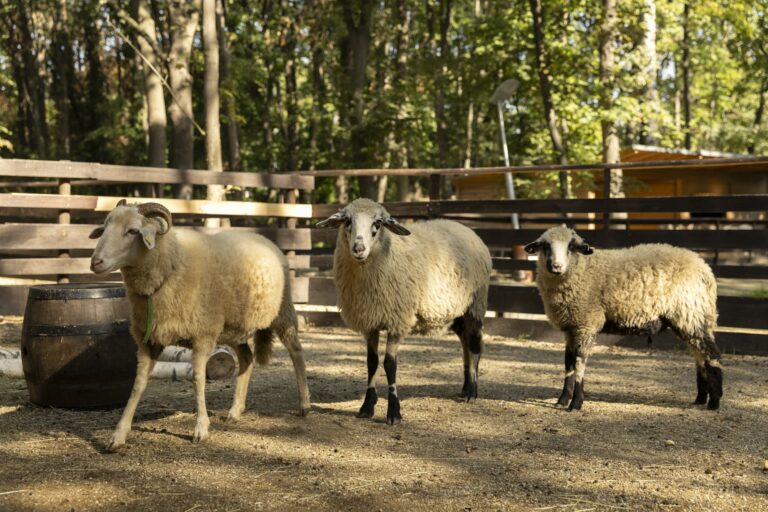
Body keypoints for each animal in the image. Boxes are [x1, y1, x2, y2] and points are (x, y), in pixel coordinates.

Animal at [89, 200, 311, 450]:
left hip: (283, 312)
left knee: (296, 352)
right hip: (234, 328)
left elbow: (198, 379)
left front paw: (201, 429)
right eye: (105, 227)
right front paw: (118, 435)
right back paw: (235, 411)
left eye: (133, 231)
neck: (171, 265)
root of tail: (262, 238)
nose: (95, 262)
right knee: (247, 358)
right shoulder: (148, 340)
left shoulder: (203, 335)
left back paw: (304, 404)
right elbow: (138, 384)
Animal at [316, 198, 492, 425]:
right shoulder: (370, 321)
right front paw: (367, 406)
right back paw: (464, 386)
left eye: (378, 223)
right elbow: (371, 362)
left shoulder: (397, 321)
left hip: (475, 304)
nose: (358, 248)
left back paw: (472, 391)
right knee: (465, 341)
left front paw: (394, 412)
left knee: (476, 345)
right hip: (457, 311)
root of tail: (465, 229)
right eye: (347, 221)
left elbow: (390, 364)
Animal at [524, 225, 723, 411]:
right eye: (545, 246)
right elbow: (568, 364)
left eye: (571, 247)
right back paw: (700, 399)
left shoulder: (586, 324)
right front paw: (562, 400)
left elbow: (579, 364)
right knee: (700, 356)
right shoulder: (571, 328)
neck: (583, 269)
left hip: (692, 313)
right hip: (689, 318)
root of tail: (705, 268)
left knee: (712, 355)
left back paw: (714, 402)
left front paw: (576, 403)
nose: (556, 266)